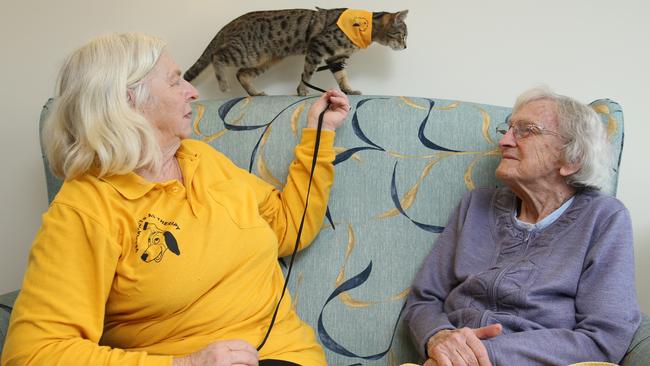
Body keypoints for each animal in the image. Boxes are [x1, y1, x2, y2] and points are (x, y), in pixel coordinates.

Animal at [182, 7, 404, 96]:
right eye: (402, 35)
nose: (406, 46)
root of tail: (233, 21)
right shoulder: (318, 46)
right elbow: (307, 73)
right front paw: (302, 90)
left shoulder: (336, 58)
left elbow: (342, 77)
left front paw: (349, 90)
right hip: (246, 52)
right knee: (217, 56)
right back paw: (223, 84)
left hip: (265, 60)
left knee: (241, 74)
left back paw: (255, 93)